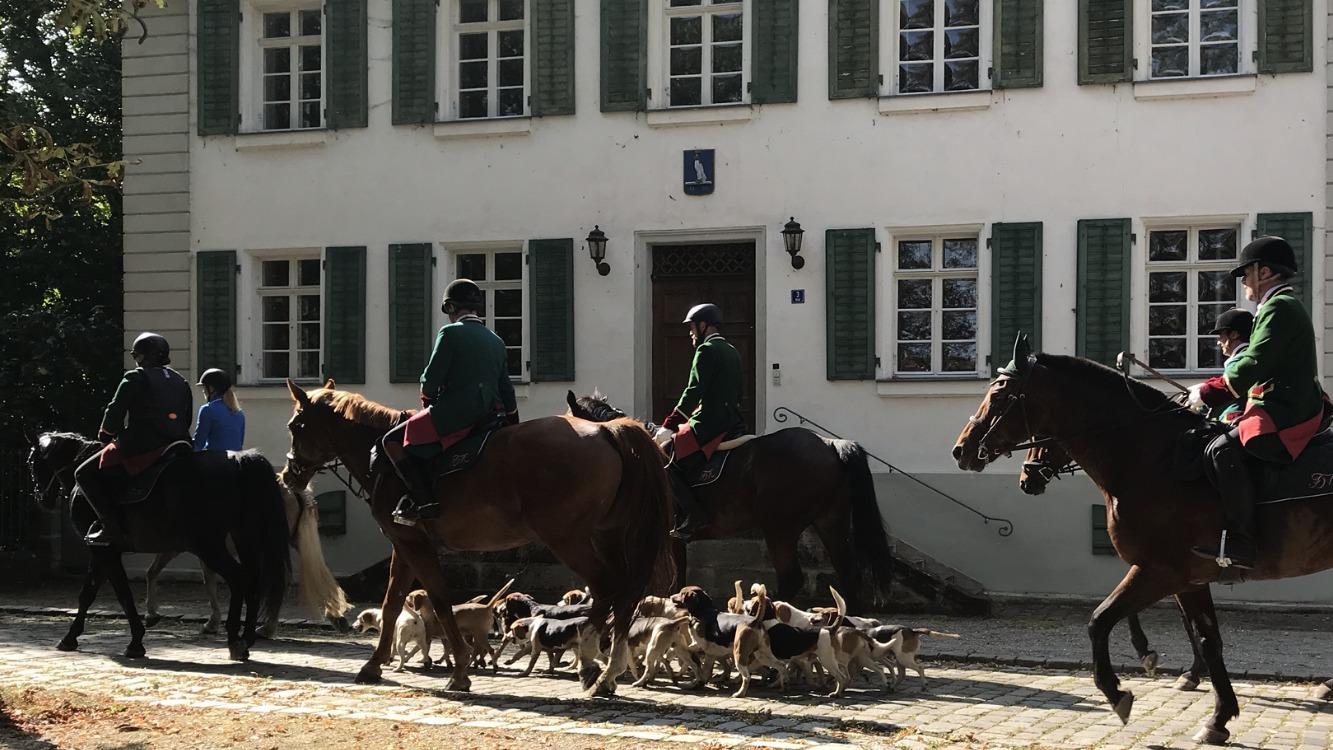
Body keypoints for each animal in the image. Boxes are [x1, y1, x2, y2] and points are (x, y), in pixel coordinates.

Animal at [25, 431, 291, 660]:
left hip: (209, 546)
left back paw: (235, 641)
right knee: (253, 581)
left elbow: (116, 594)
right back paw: (246, 638)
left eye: (31, 462)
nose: (41, 498)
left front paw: (133, 641)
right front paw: (74, 637)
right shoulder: (104, 551)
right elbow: (91, 593)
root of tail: (238, 460)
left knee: (238, 579)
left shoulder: (103, 550)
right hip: (243, 538)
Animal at [285, 380, 671, 698]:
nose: (289, 474)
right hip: (607, 536)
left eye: (295, 426)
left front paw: (459, 669)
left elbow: (439, 600)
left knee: (607, 588)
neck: (381, 457)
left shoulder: (413, 543)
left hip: (569, 539)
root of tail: (605, 432)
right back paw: (608, 672)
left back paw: (591, 661)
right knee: (625, 592)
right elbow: (392, 602)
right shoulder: (404, 545)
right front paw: (375, 665)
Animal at [562, 391, 895, 612]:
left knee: (792, 579)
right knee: (849, 574)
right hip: (830, 522)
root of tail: (829, 444)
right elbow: (677, 580)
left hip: (780, 529)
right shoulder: (674, 539)